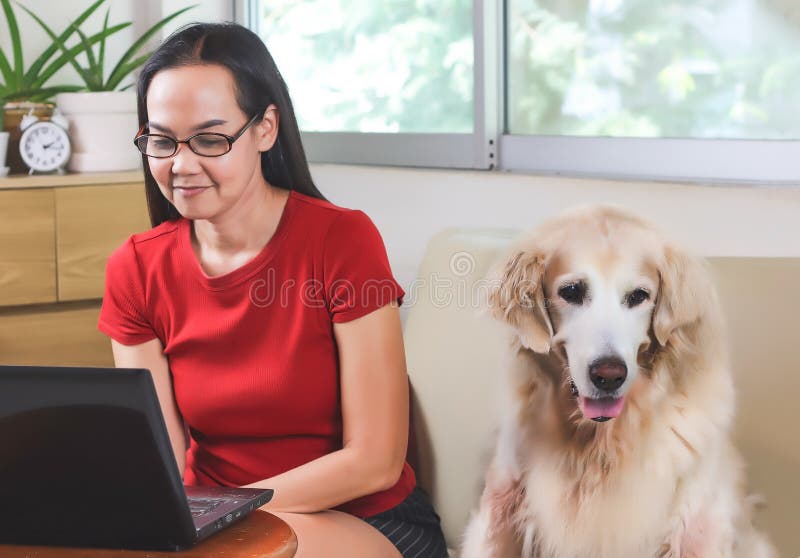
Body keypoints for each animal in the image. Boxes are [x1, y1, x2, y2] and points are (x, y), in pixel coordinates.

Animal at [462, 207, 776, 558]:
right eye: (571, 291)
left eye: (639, 296)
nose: (609, 376)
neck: (600, 443)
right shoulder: (502, 506)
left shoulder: (699, 523)